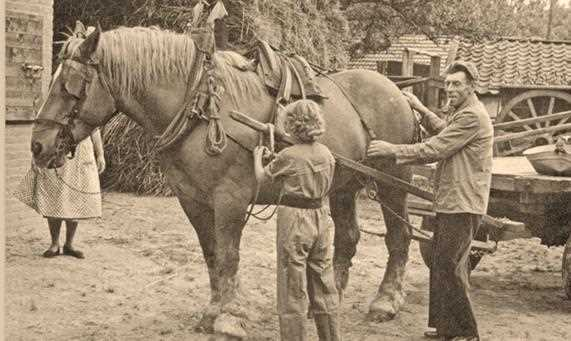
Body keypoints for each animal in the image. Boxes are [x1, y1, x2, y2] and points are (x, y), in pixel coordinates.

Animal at [30, 23, 416, 334]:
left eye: (68, 87)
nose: (38, 145)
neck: (201, 110)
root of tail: (398, 90)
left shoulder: (230, 199)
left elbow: (230, 255)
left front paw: (230, 318)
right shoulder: (193, 200)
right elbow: (212, 254)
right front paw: (212, 312)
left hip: (393, 181)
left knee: (400, 237)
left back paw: (385, 302)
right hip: (344, 186)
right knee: (348, 237)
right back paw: (330, 296)